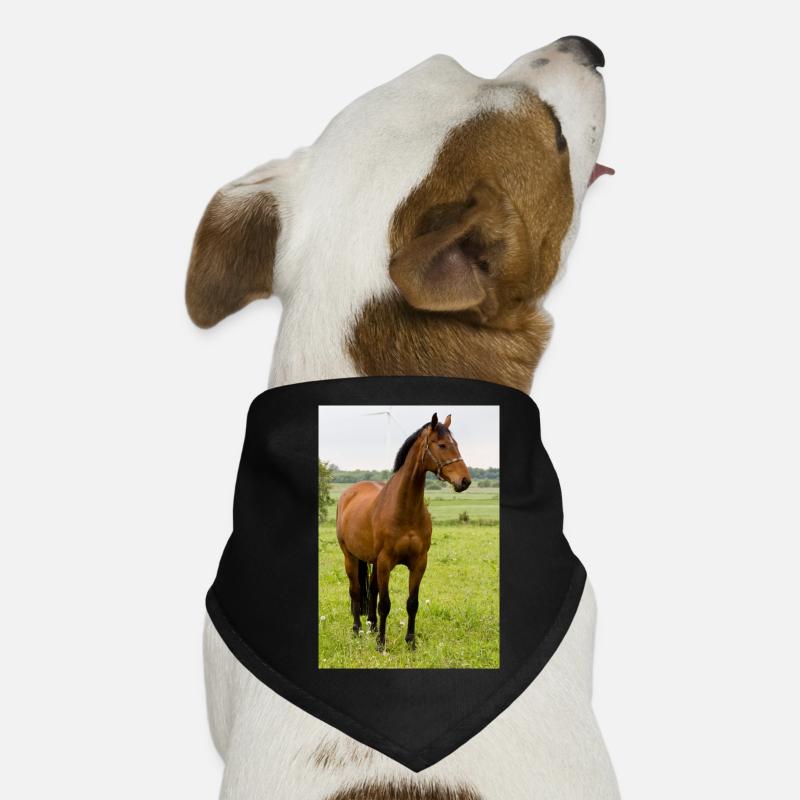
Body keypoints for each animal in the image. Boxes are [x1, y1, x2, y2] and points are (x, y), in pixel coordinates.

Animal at [335, 412, 472, 651]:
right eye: (442, 445)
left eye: (456, 444)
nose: (464, 481)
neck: (404, 509)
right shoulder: (385, 562)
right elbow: (385, 604)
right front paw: (381, 644)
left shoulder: (419, 563)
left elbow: (412, 603)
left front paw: (410, 642)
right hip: (350, 557)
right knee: (356, 591)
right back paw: (357, 630)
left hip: (373, 562)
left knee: (372, 592)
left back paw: (372, 627)